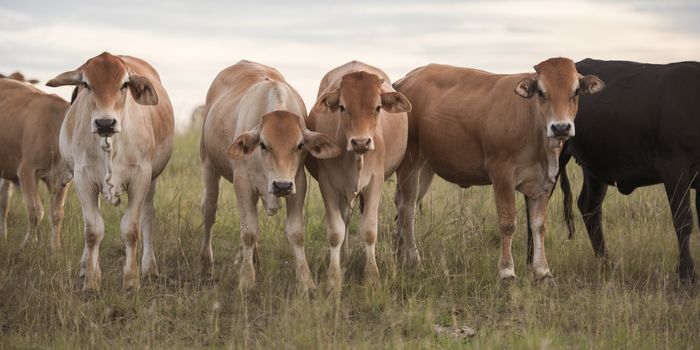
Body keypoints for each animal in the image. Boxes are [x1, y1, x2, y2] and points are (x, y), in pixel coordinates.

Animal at [0, 78, 71, 247]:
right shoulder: (27, 171)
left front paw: (55, 246)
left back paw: (3, 234)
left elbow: (57, 214)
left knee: (5, 199)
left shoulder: (64, 180)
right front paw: (28, 243)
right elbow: (36, 211)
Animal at [198, 60, 340, 292]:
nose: (281, 186)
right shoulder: (242, 183)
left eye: (300, 145)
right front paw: (247, 280)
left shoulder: (297, 183)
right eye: (263, 144)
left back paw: (256, 262)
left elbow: (296, 233)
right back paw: (206, 266)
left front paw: (305, 281)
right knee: (209, 212)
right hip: (209, 165)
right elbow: (248, 232)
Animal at [304, 60, 410, 292]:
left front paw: (371, 277)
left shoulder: (375, 182)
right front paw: (333, 279)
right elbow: (336, 232)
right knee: (345, 220)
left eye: (377, 107)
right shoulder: (327, 185)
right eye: (342, 107)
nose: (361, 142)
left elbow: (369, 230)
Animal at [394, 58, 600, 282]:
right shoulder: (502, 175)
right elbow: (508, 223)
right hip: (410, 161)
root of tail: (407, 79)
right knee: (407, 209)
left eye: (576, 91)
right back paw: (413, 261)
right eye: (541, 92)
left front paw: (543, 272)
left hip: (425, 165)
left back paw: (401, 255)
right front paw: (507, 271)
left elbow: (538, 225)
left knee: (408, 206)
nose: (561, 127)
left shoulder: (545, 181)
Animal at [552, 58, 700, 282]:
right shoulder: (674, 168)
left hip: (595, 168)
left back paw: (606, 263)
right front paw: (686, 273)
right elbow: (684, 221)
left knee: (589, 207)